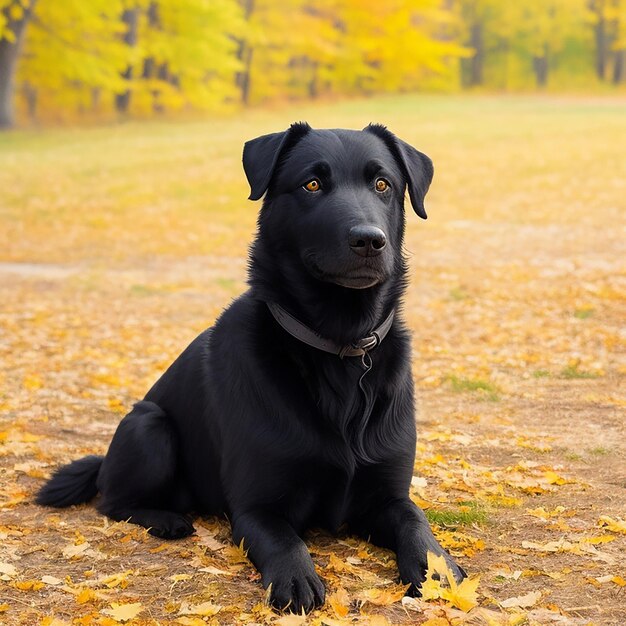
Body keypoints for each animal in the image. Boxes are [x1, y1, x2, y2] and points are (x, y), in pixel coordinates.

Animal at [37, 122, 464, 608]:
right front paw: (296, 578)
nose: (369, 240)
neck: (339, 348)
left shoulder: (388, 498)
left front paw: (437, 569)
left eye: (382, 185)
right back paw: (165, 518)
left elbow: (417, 524)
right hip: (149, 424)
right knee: (111, 500)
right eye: (311, 184)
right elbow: (285, 541)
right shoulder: (256, 508)